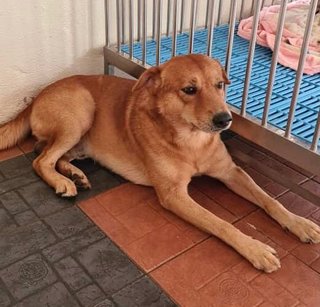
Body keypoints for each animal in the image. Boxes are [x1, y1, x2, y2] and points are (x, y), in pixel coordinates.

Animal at [0, 54, 320, 274]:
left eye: (219, 85)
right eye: (189, 90)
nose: (225, 119)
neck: (191, 141)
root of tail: (36, 96)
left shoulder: (231, 172)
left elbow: (270, 200)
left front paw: (299, 222)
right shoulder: (173, 195)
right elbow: (221, 223)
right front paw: (253, 248)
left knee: (53, 154)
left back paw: (73, 173)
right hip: (80, 111)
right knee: (41, 159)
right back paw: (62, 181)